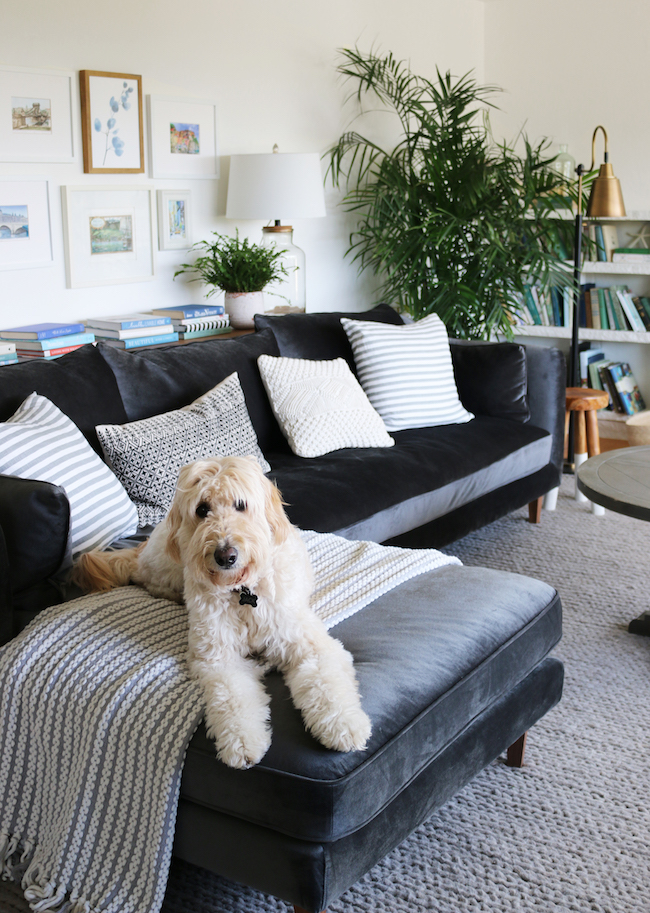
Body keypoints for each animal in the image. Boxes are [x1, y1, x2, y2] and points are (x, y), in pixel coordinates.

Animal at [71, 452, 370, 764]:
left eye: (241, 505)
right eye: (202, 509)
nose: (226, 555)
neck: (242, 592)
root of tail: (144, 542)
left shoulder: (307, 643)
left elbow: (327, 685)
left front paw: (344, 725)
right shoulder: (219, 658)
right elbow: (232, 698)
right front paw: (242, 742)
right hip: (167, 563)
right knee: (144, 576)